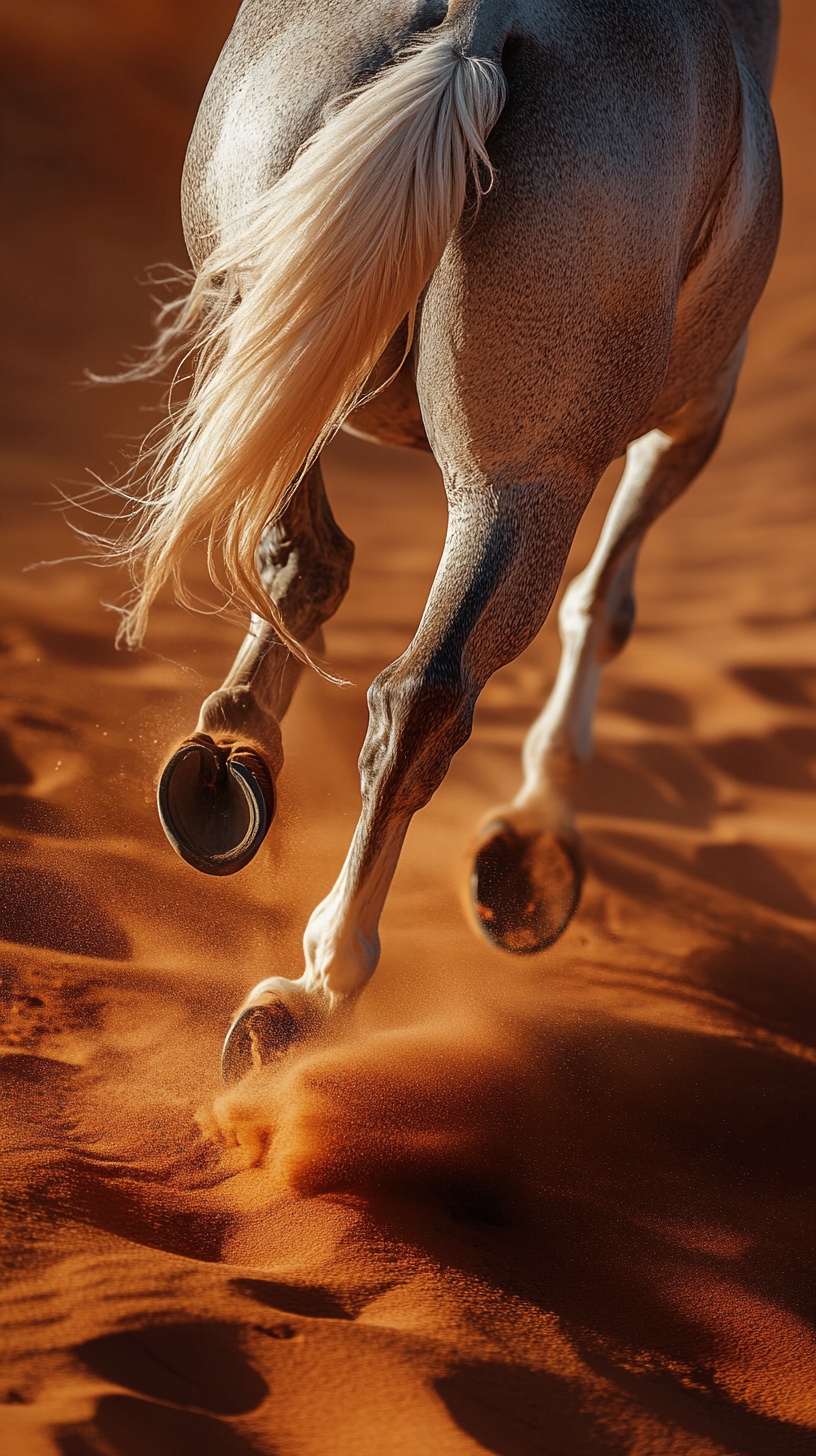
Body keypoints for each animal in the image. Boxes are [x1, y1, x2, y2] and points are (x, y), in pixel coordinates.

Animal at [112, 0, 775, 1083]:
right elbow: (607, 603)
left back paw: (227, 760)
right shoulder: (696, 414)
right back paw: (315, 989)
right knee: (424, 697)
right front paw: (533, 842)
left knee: (303, 559)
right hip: (526, 484)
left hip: (258, 339)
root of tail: (473, 31)